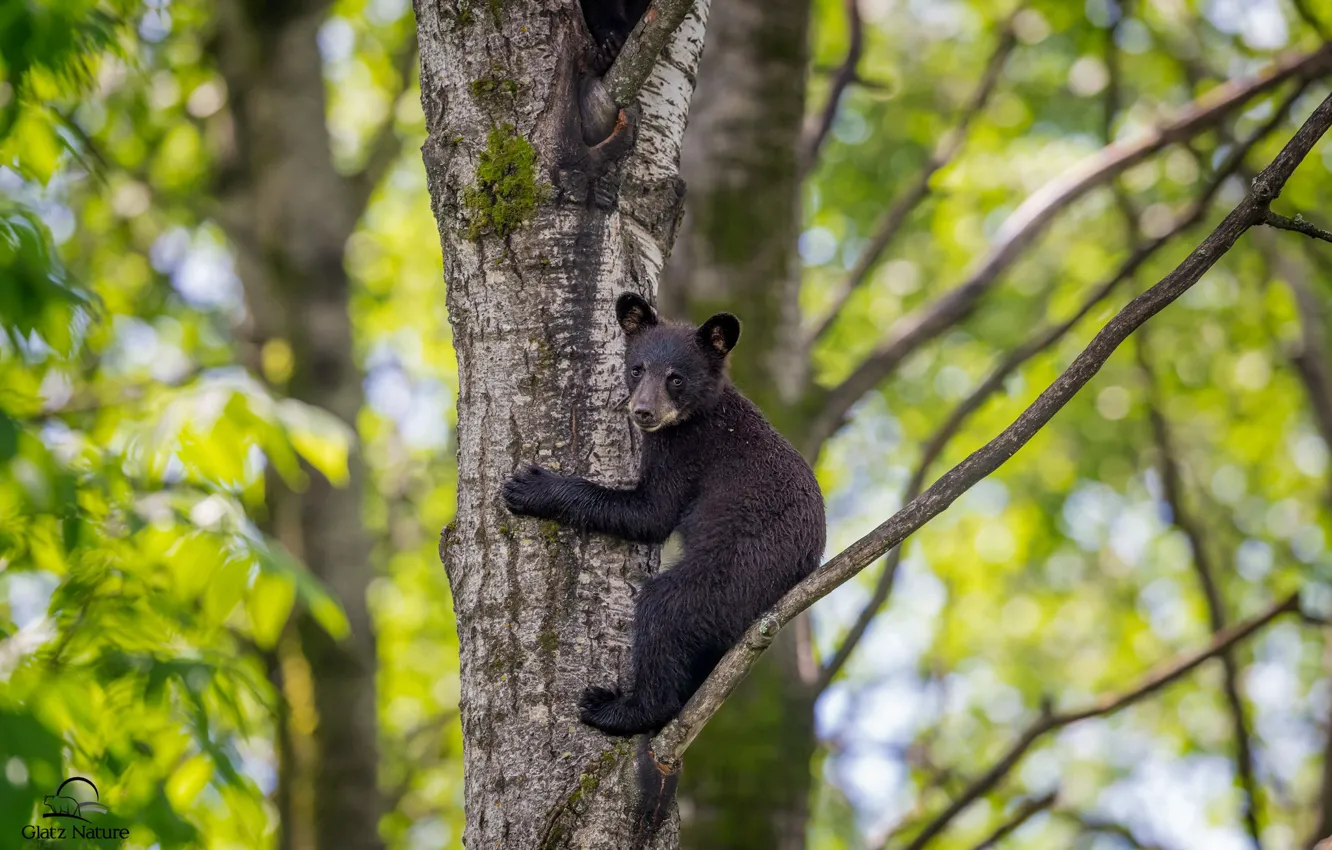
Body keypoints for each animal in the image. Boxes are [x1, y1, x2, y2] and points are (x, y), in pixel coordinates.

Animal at [502, 292, 827, 738]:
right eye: (637, 368)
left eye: (676, 378)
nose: (642, 412)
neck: (701, 412)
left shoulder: (685, 451)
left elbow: (650, 514)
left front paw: (530, 487)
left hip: (735, 574)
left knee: (665, 608)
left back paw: (621, 709)